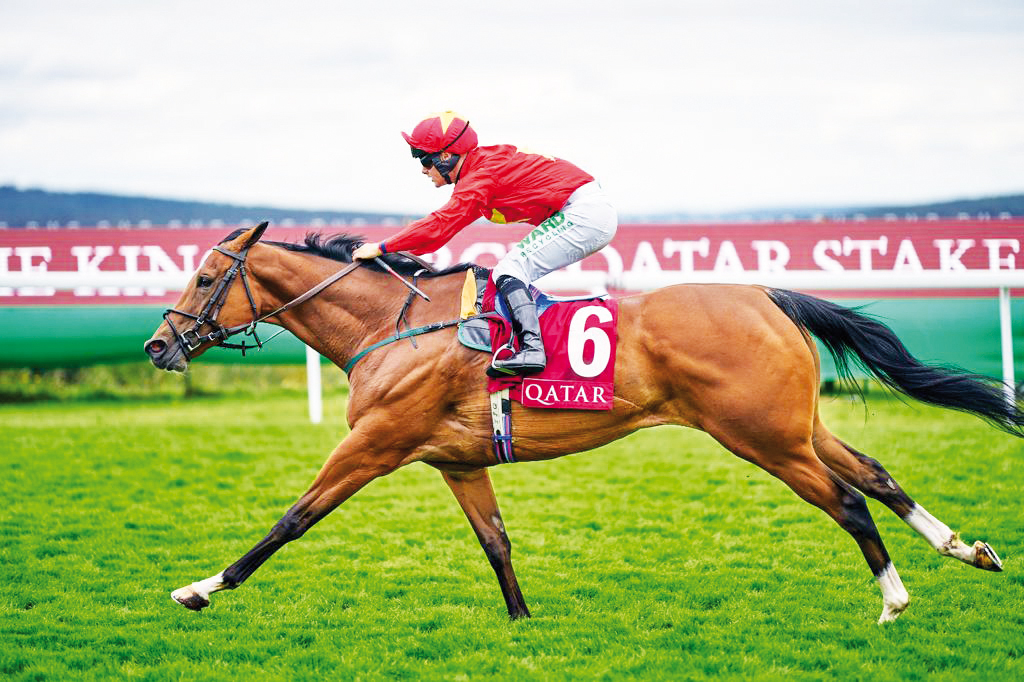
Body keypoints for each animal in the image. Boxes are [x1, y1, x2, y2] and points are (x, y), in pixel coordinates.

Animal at [142, 223, 1015, 622]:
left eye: (208, 277)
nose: (157, 345)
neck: (391, 325)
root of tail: (767, 294)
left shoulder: (373, 444)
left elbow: (291, 519)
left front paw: (201, 587)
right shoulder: (456, 461)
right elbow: (495, 541)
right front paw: (523, 622)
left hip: (759, 435)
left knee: (849, 500)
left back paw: (894, 599)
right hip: (794, 424)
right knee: (876, 473)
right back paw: (966, 548)